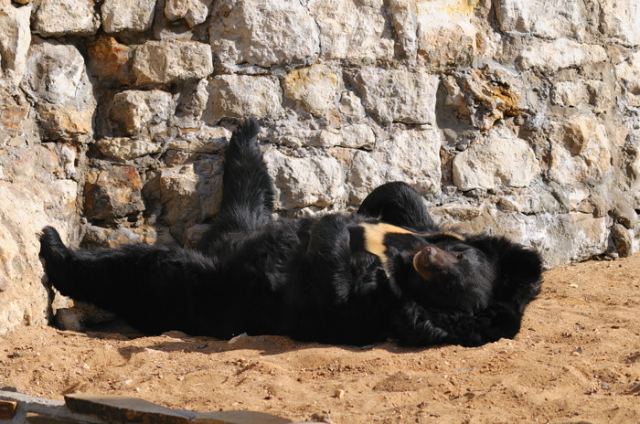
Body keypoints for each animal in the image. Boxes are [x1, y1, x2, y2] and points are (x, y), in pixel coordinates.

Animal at [39, 119, 543, 347]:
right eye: (460, 259)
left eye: (450, 285)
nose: (428, 259)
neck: (396, 262)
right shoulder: (418, 233)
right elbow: (405, 200)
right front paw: (365, 208)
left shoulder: (379, 304)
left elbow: (331, 287)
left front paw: (335, 226)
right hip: (241, 227)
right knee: (248, 190)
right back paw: (246, 132)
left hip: (206, 292)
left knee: (148, 269)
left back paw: (55, 249)